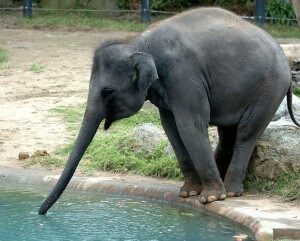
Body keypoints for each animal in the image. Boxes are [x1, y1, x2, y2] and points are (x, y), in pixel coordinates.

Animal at [38, 7, 298, 215]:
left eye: (108, 91)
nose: (41, 212)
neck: (136, 42)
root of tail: (286, 61)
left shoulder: (184, 75)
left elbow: (190, 125)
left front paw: (210, 198)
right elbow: (170, 127)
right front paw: (188, 193)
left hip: (268, 90)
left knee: (246, 133)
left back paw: (230, 192)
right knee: (228, 133)